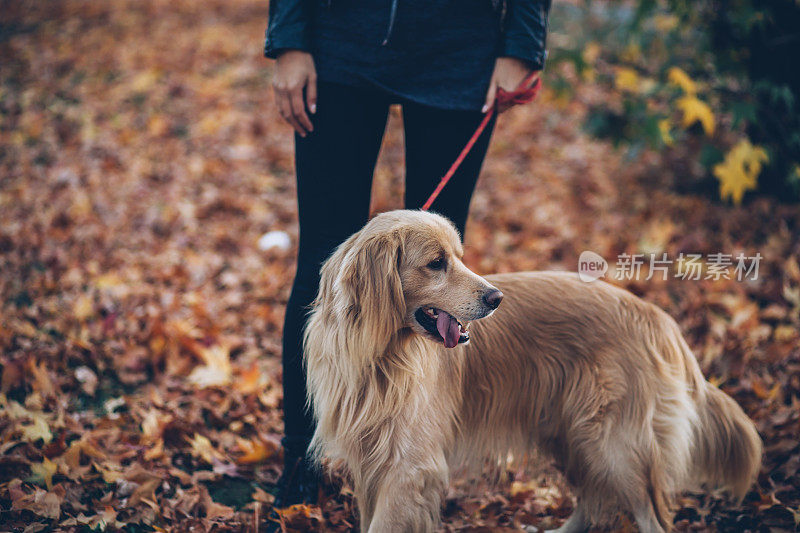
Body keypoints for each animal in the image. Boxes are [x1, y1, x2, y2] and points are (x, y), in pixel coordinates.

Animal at [304, 210, 764, 528]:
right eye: (436, 262)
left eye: (459, 257)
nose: (496, 298)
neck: (378, 357)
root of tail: (653, 315)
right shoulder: (370, 464)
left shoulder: (408, 468)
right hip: (572, 433)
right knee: (594, 499)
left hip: (613, 442)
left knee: (647, 514)